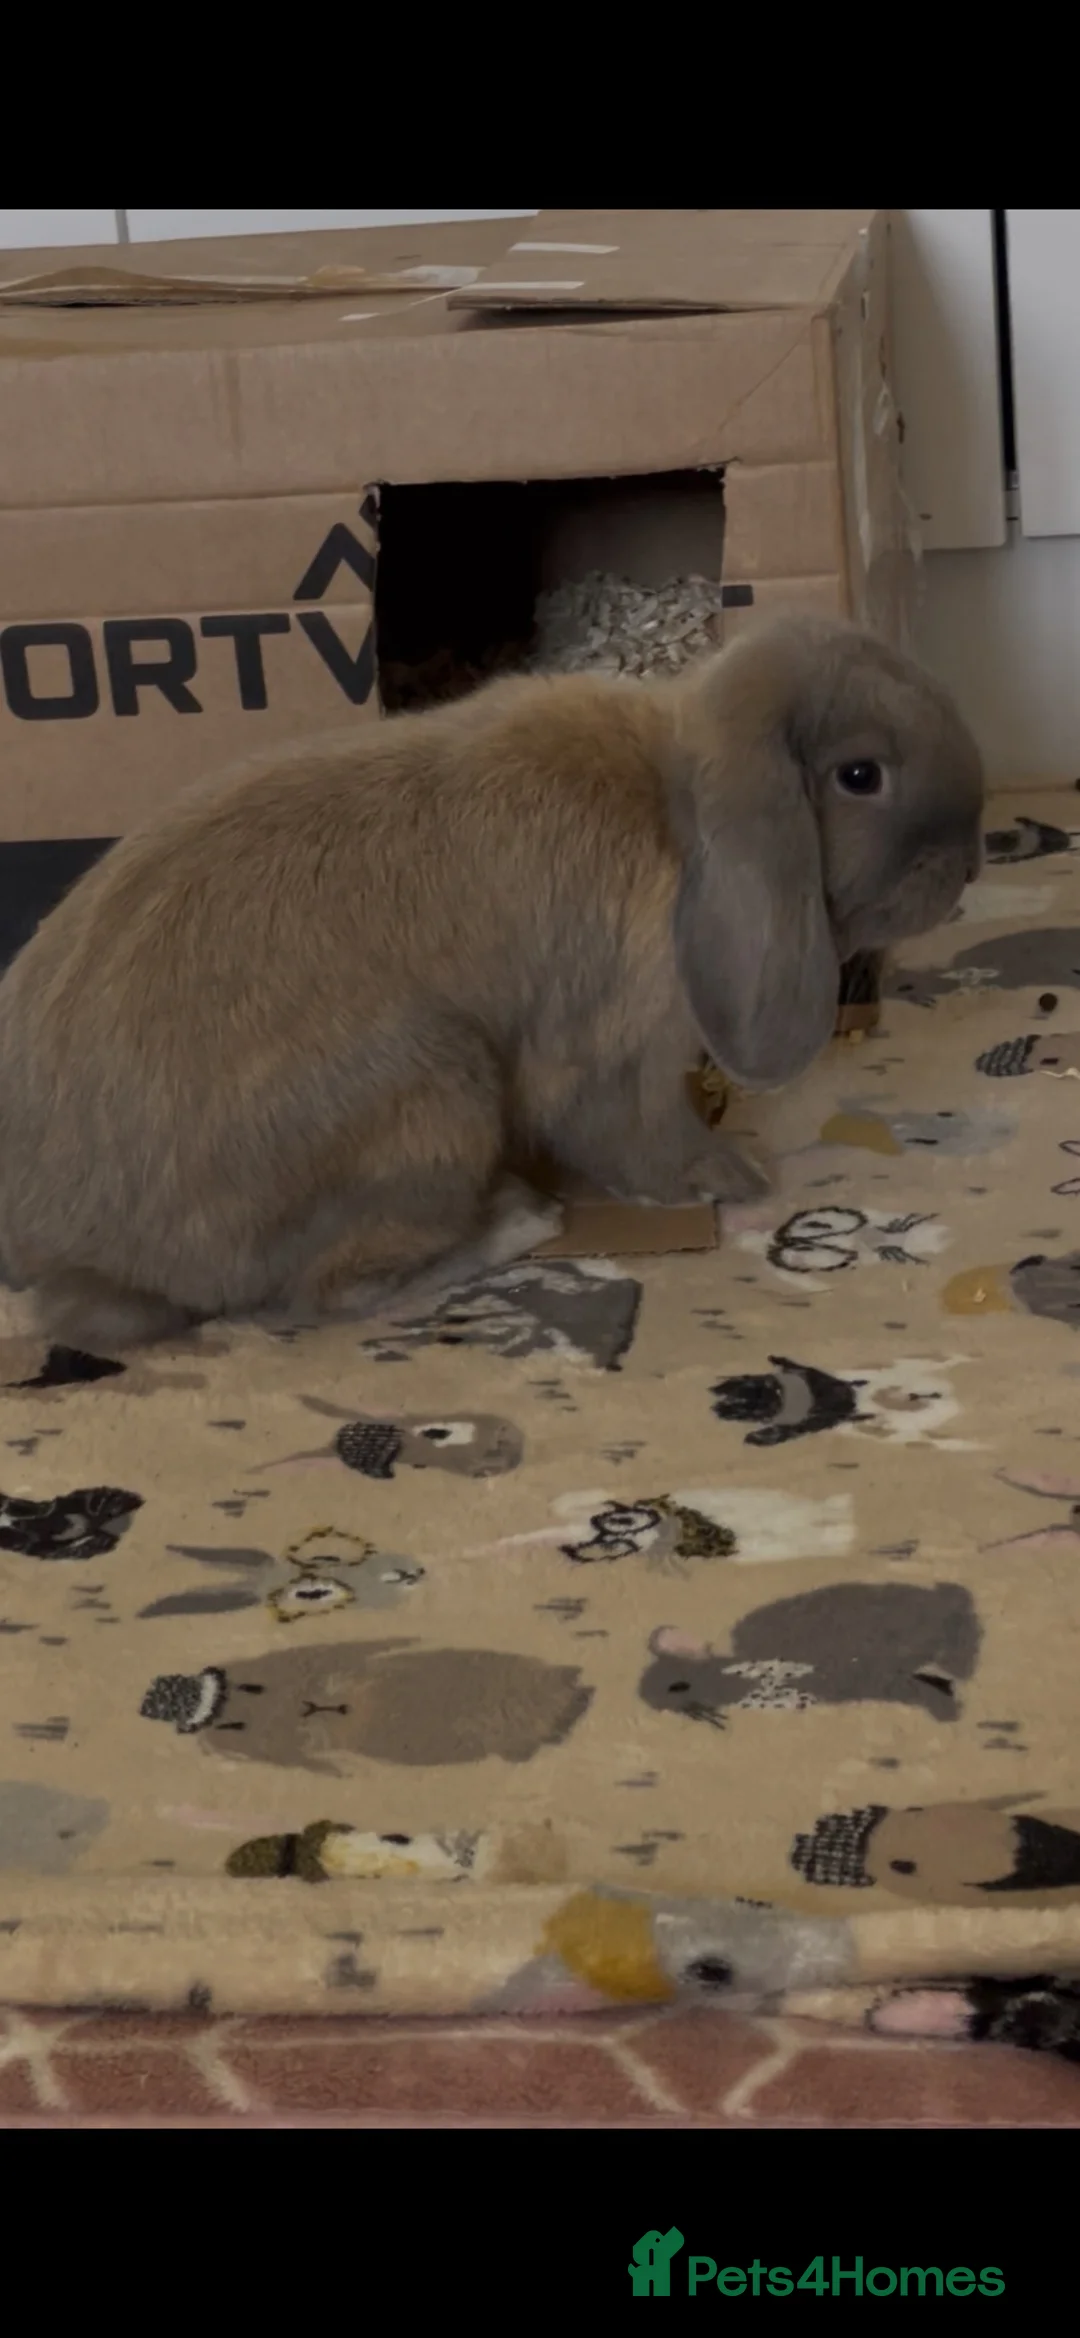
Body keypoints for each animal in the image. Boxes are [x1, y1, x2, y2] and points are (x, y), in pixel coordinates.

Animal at [0, 612, 984, 1350]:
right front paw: (729, 1180)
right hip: (427, 1094)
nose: (969, 867)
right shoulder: (610, 1051)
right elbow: (631, 1131)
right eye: (860, 775)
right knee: (324, 1294)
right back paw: (520, 1220)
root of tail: (69, 1255)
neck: (674, 810)